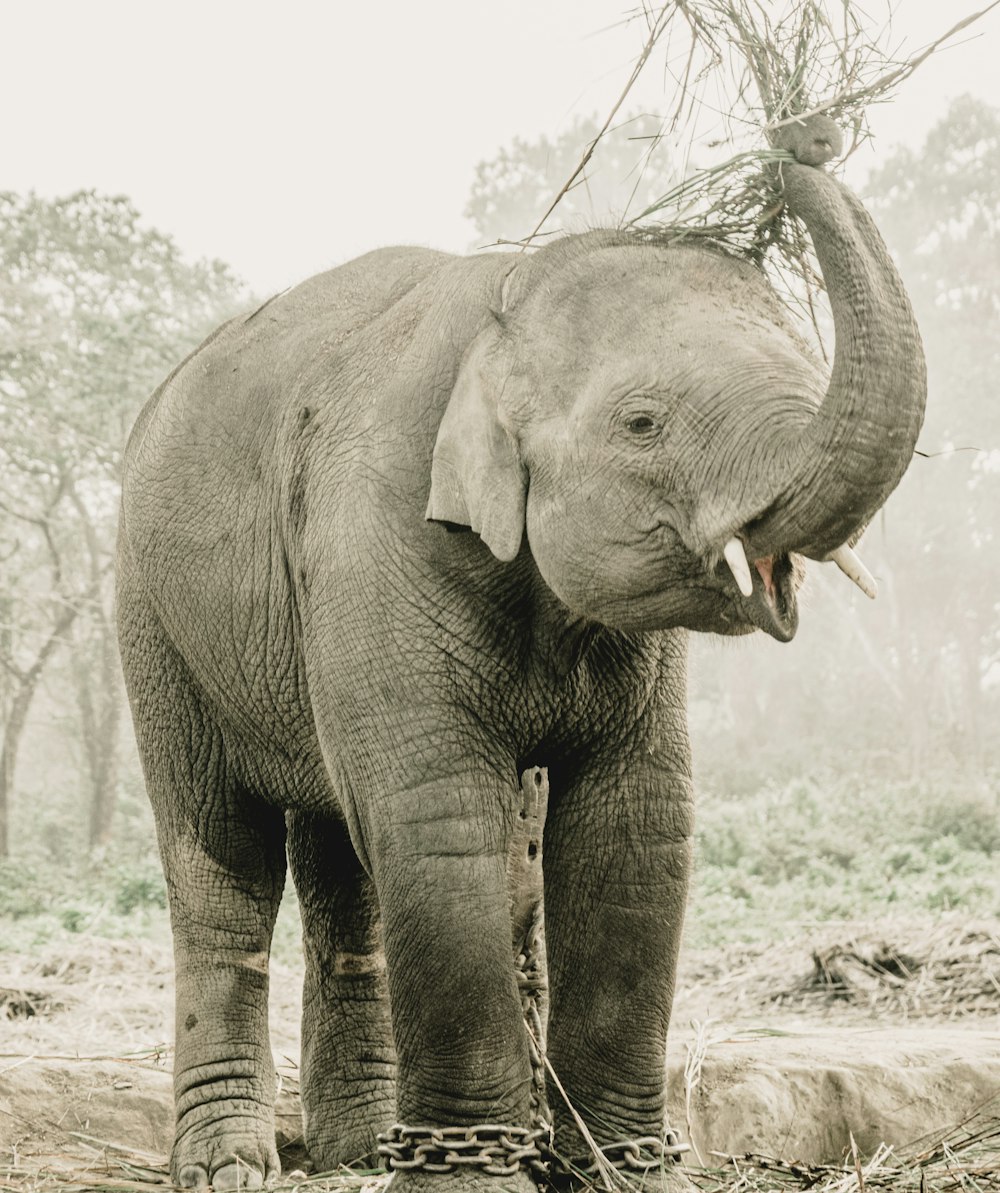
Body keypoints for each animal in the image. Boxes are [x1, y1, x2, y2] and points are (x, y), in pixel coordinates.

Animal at [115, 113, 926, 1193]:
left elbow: (636, 826)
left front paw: (627, 1172)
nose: (805, 133)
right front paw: (473, 1177)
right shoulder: (374, 533)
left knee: (346, 871)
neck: (508, 302)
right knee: (222, 857)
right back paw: (229, 1166)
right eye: (642, 422)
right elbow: (439, 817)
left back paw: (362, 1148)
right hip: (153, 621)